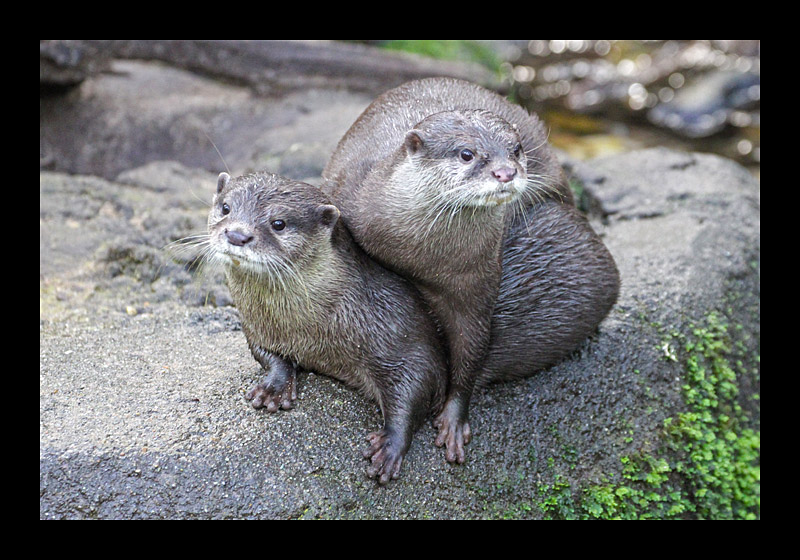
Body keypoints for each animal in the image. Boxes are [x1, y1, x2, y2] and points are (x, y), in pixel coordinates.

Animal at [203, 173, 446, 484]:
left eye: (278, 223)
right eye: (225, 208)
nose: (236, 235)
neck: (309, 330)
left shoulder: (399, 327)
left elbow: (417, 378)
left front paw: (391, 445)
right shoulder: (256, 328)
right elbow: (268, 355)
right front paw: (275, 387)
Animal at [322, 77, 620, 464]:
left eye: (516, 150)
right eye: (466, 154)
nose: (505, 172)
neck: (423, 257)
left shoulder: (478, 280)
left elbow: (472, 347)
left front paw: (453, 418)